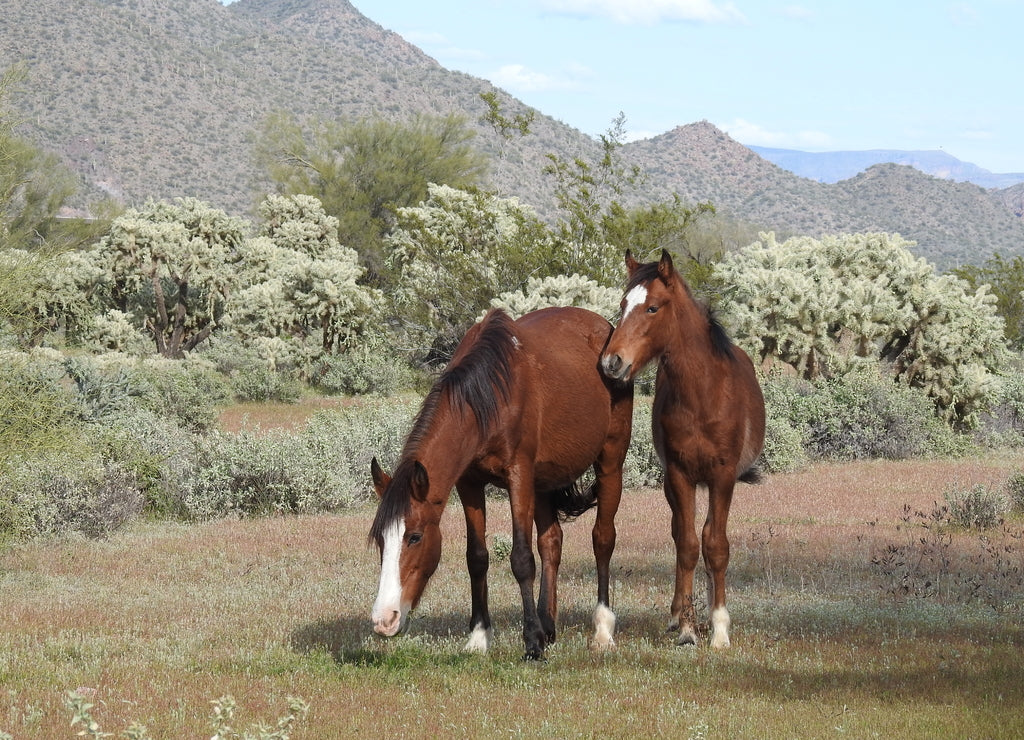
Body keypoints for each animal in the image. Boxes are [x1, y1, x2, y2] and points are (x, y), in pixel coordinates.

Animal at [369, 306, 634, 660]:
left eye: (414, 537)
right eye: (381, 540)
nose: (384, 620)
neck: (487, 396)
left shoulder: (518, 476)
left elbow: (521, 558)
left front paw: (532, 643)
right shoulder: (469, 484)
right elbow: (477, 557)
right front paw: (479, 637)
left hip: (610, 462)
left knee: (603, 539)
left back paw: (602, 630)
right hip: (543, 481)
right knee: (551, 542)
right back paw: (548, 625)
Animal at [600, 250, 765, 649]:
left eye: (653, 308)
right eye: (623, 304)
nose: (612, 362)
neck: (703, 395)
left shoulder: (722, 476)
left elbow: (716, 546)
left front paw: (719, 628)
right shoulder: (679, 474)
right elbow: (688, 545)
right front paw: (688, 627)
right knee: (682, 536)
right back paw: (679, 615)